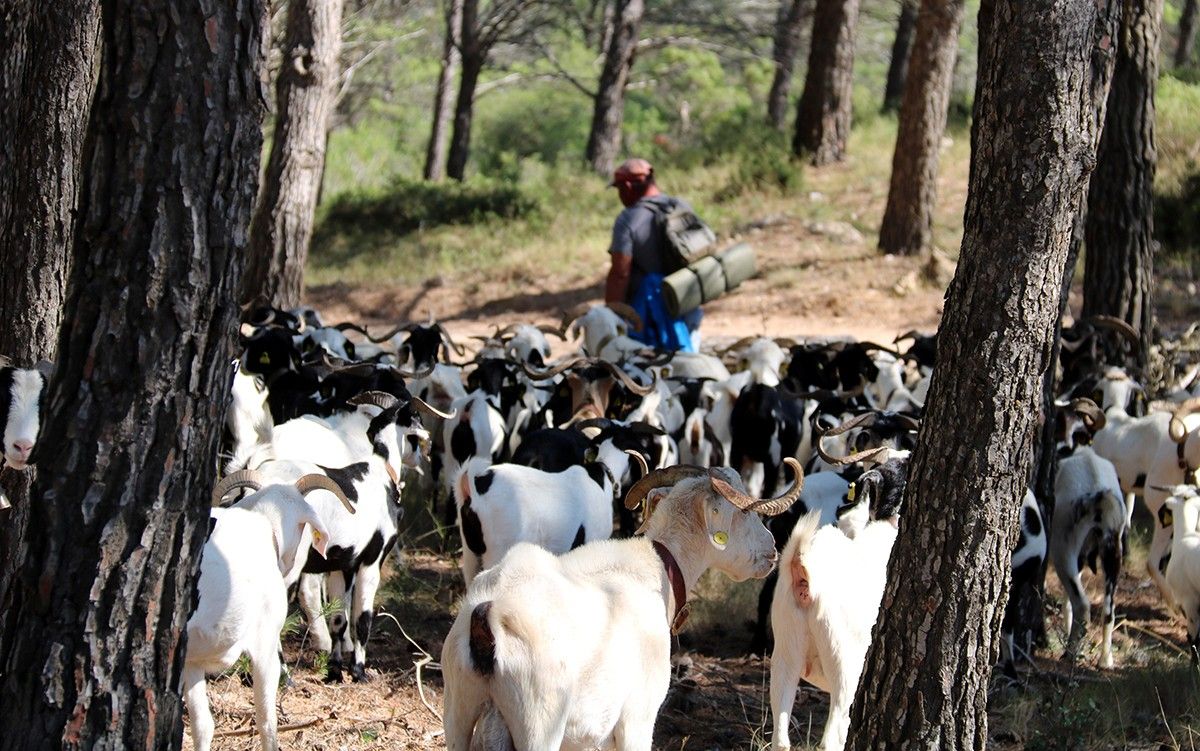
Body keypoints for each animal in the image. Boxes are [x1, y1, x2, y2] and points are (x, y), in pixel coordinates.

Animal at [436, 455, 801, 748]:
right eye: (741, 512)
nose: (772, 550)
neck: (658, 570)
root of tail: (487, 616)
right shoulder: (637, 720)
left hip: (459, 712)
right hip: (539, 724)